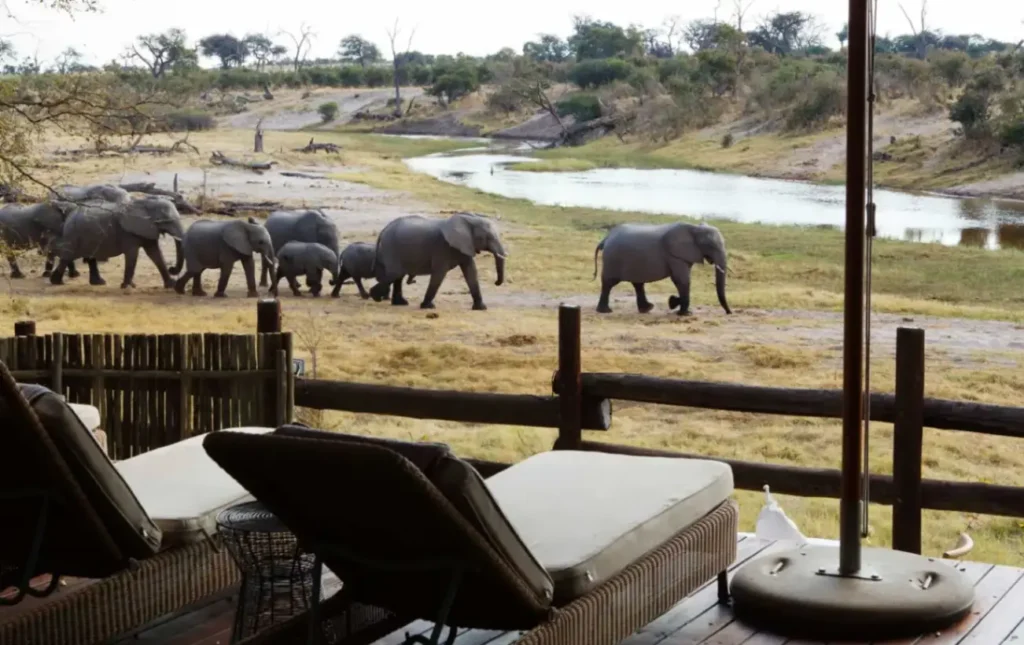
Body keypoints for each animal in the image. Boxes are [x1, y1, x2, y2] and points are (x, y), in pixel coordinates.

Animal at [49, 196, 185, 289]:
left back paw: (98, 283)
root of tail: (70, 213)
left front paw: (171, 285)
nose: (172, 268)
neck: (144, 203)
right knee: (67, 256)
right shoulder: (129, 233)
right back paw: (56, 282)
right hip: (74, 234)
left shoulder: (147, 229)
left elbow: (155, 254)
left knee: (89, 257)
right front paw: (128, 286)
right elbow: (132, 255)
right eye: (167, 221)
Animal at [367, 212, 506, 310]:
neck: (468, 219)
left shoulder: (464, 245)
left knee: (398, 276)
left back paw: (400, 303)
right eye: (489, 237)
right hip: (391, 248)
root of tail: (384, 230)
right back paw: (375, 297)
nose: (496, 283)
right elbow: (439, 274)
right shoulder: (442, 248)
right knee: (395, 274)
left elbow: (471, 271)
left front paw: (481, 308)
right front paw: (427, 307)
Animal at [592, 221, 731, 316]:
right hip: (612, 259)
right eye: (710, 245)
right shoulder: (675, 256)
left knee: (638, 284)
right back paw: (605, 311)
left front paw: (674, 303)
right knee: (609, 282)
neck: (694, 228)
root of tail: (606, 238)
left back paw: (647, 309)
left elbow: (681, 280)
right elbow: (681, 280)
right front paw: (683, 312)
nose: (729, 312)